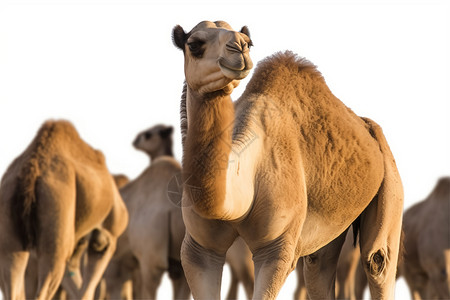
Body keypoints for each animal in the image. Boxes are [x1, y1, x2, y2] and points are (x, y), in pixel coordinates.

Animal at [0, 120, 128, 300]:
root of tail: (29, 175)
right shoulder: (107, 236)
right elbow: (87, 289)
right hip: (55, 227)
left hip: (9, 230)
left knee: (13, 283)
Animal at [172, 19, 404, 298]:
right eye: (194, 44)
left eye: (248, 42)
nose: (239, 48)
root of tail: (368, 127)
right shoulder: (199, 249)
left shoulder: (277, 249)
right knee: (318, 265)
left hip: (391, 183)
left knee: (378, 260)